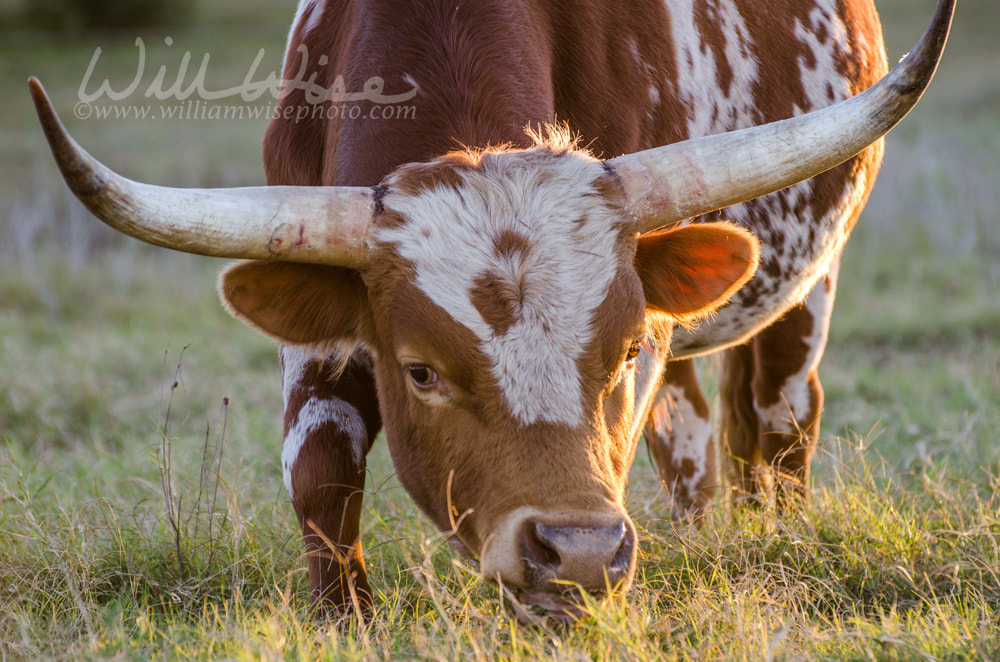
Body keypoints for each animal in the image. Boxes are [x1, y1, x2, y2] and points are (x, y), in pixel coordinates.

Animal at [31, 0, 952, 624]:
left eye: (619, 354)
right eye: (420, 372)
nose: (578, 552)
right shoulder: (322, 312)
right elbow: (320, 466)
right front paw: (346, 622)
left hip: (811, 274)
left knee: (778, 418)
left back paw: (771, 537)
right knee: (689, 436)